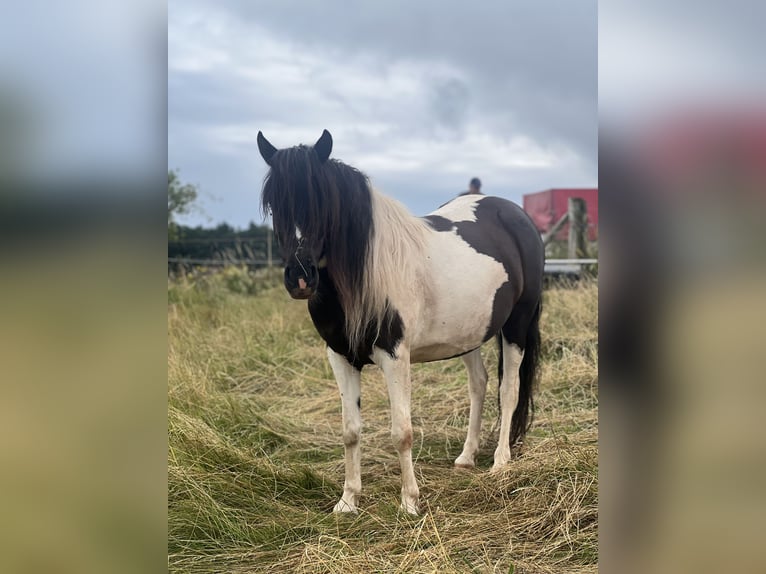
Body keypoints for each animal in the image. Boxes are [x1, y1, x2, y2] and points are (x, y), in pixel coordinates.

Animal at [257, 129, 544, 515]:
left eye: (323, 202)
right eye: (274, 205)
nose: (300, 279)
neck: (364, 274)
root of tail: (514, 214)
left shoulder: (395, 356)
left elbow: (401, 431)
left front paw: (409, 502)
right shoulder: (339, 356)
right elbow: (350, 430)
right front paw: (348, 501)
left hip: (517, 324)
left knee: (509, 389)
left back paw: (500, 462)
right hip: (469, 333)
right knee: (479, 385)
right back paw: (466, 457)